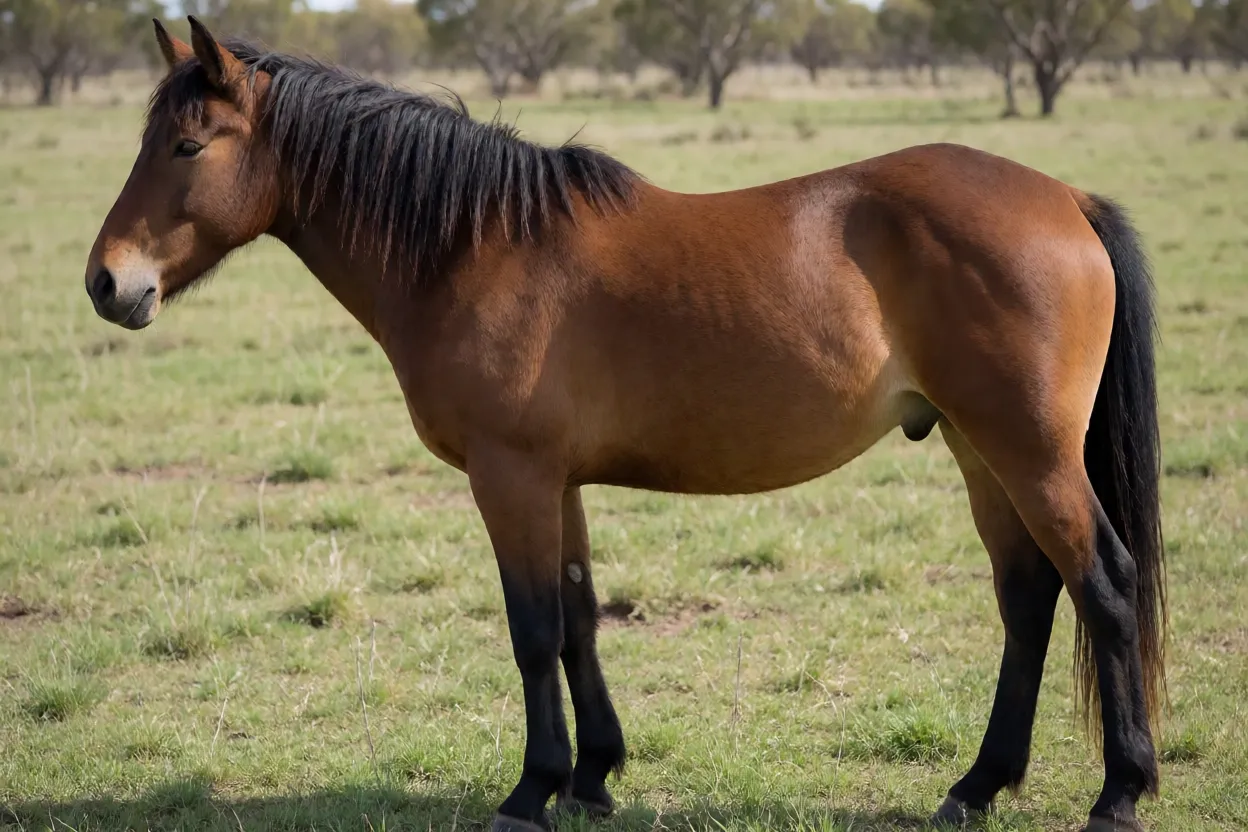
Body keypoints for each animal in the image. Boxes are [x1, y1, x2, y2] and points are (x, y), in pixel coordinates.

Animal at [85, 17, 1167, 832]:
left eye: (188, 146)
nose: (107, 283)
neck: (473, 247)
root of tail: (1065, 199)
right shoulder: (556, 480)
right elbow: (577, 620)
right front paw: (594, 776)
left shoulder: (510, 476)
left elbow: (531, 631)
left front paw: (531, 790)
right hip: (977, 448)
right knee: (1029, 598)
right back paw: (976, 786)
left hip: (1029, 453)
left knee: (1104, 583)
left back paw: (1119, 790)